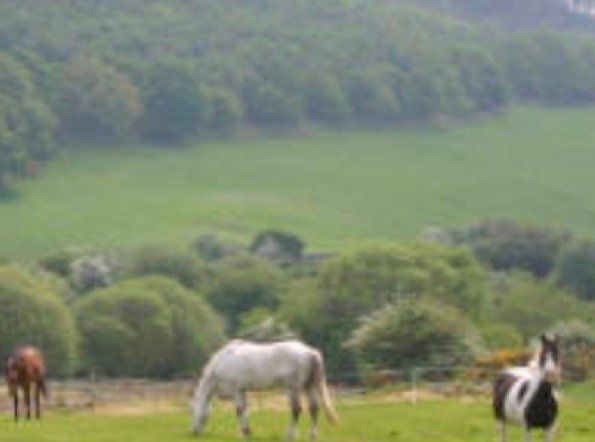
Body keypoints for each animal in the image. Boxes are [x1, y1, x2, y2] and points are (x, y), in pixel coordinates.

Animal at [192, 338, 338, 438]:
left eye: (192, 412)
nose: (193, 432)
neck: (223, 360)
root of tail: (309, 352)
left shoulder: (236, 390)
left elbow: (239, 410)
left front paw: (243, 433)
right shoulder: (243, 390)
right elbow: (245, 409)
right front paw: (247, 432)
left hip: (293, 388)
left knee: (296, 409)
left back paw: (290, 435)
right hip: (309, 386)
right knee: (314, 408)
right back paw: (312, 435)